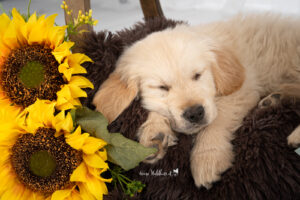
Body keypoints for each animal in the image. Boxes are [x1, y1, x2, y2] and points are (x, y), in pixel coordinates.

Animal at [92, 14, 300, 189]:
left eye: (198, 75)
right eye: (162, 87)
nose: (195, 113)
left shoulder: (242, 90)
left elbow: (217, 121)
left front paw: (208, 158)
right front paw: (155, 133)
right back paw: (274, 100)